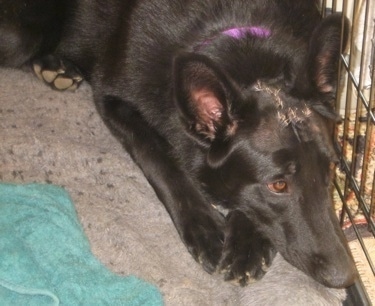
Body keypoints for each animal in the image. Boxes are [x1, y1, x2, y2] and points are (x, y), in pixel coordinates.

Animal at [0, 0, 358, 288]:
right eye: (278, 185)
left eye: (332, 171)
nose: (346, 277)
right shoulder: (111, 99)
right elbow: (159, 157)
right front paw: (203, 227)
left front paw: (246, 244)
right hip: (24, 34)